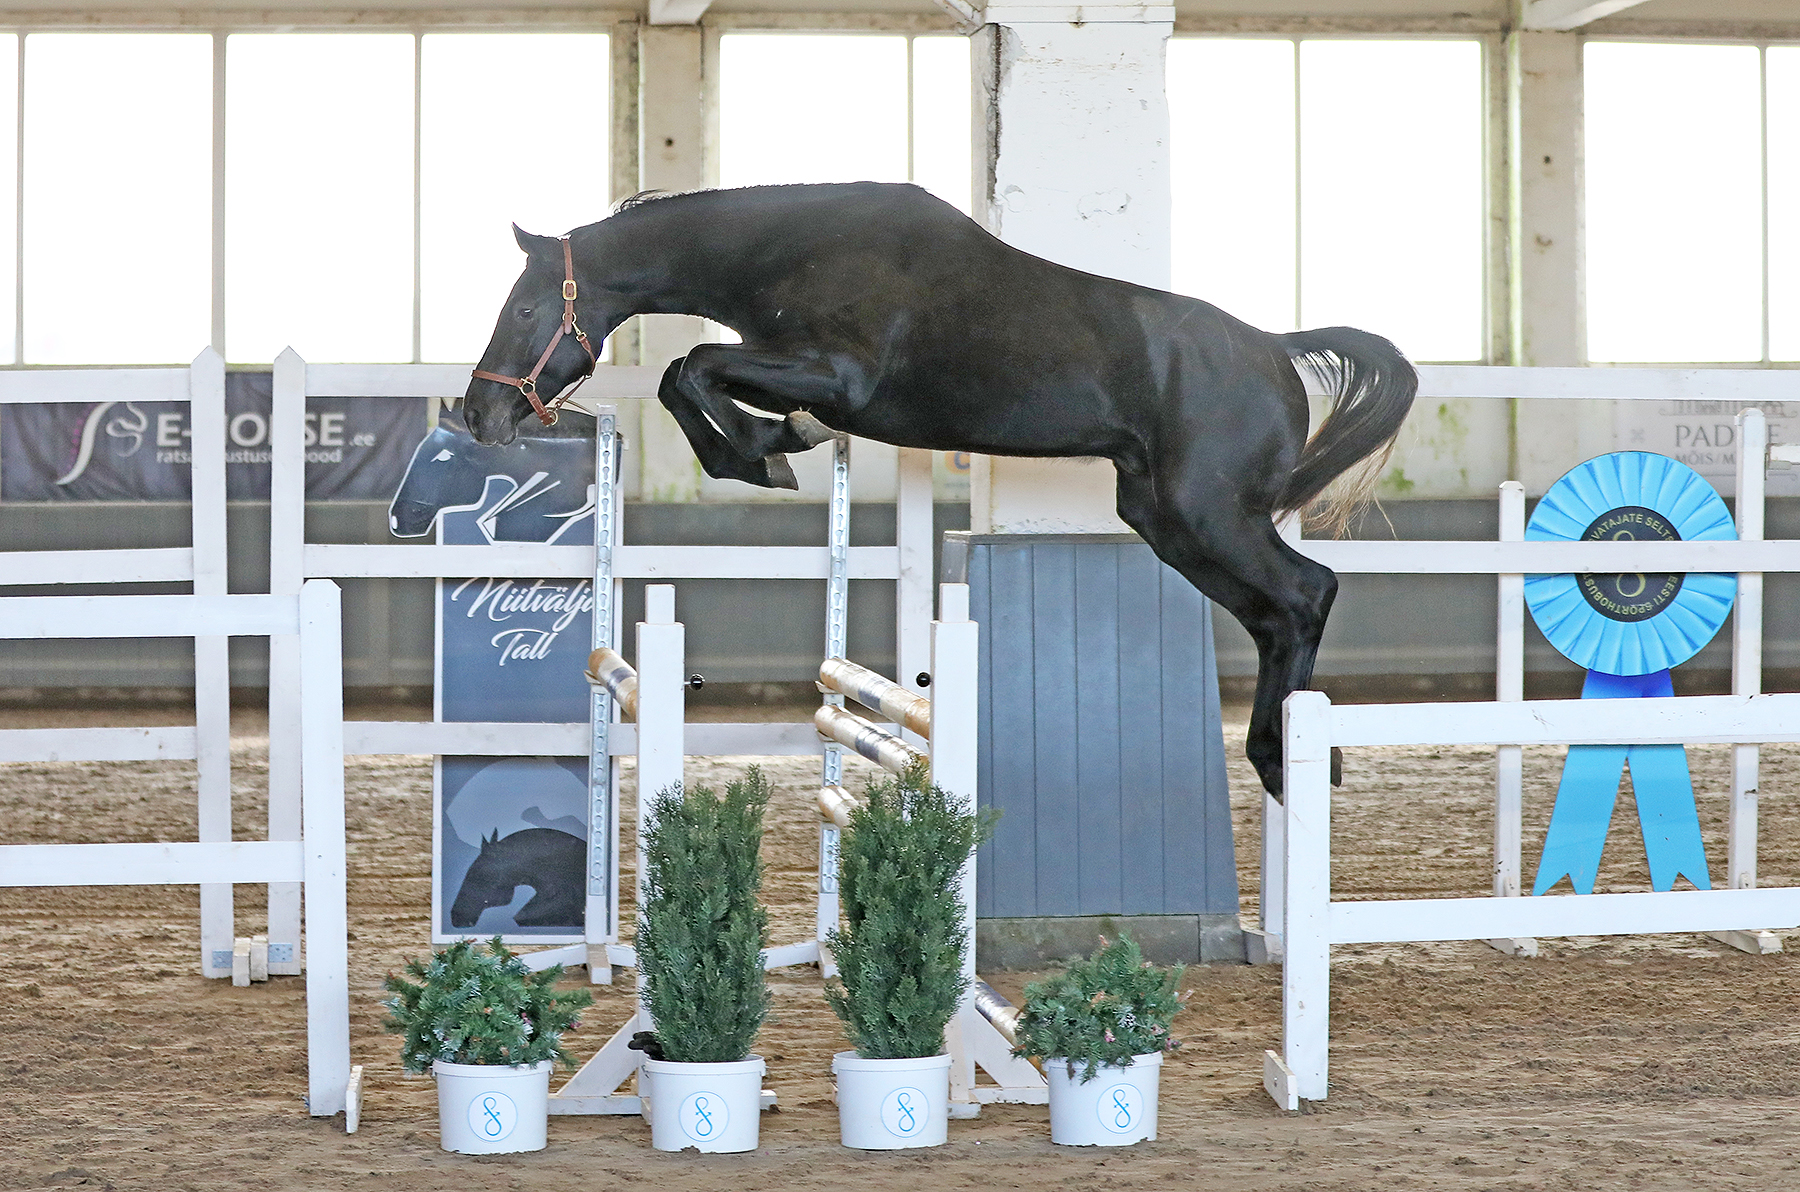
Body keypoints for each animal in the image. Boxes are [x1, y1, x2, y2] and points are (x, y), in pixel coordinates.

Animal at [460, 182, 1417, 797]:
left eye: (522, 310)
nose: (479, 413)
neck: (793, 248)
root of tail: (1275, 351)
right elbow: (684, 375)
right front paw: (769, 446)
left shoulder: (837, 377)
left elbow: (690, 366)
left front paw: (771, 449)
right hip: (1170, 522)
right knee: (1275, 614)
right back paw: (1285, 757)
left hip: (1207, 514)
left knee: (1307, 593)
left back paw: (1288, 756)